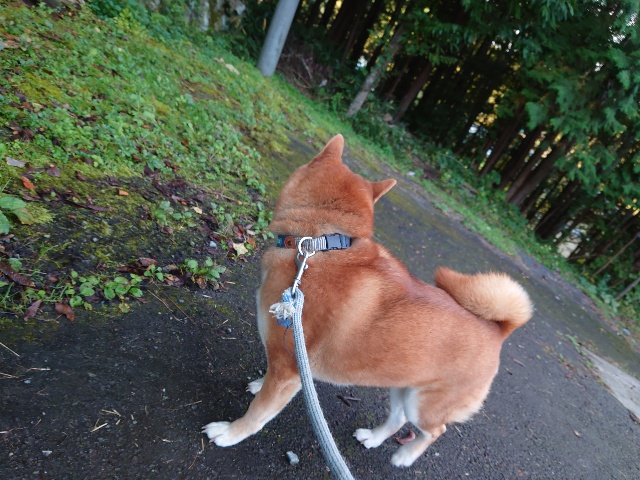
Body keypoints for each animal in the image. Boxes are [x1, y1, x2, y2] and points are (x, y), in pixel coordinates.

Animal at [203, 135, 533, 467]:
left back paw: (405, 456)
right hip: (402, 386)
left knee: (433, 431)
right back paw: (373, 438)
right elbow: (266, 384)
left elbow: (259, 412)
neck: (318, 244)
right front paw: (259, 383)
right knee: (398, 419)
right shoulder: (286, 365)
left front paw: (231, 433)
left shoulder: (288, 368)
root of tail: (498, 330)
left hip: (423, 404)